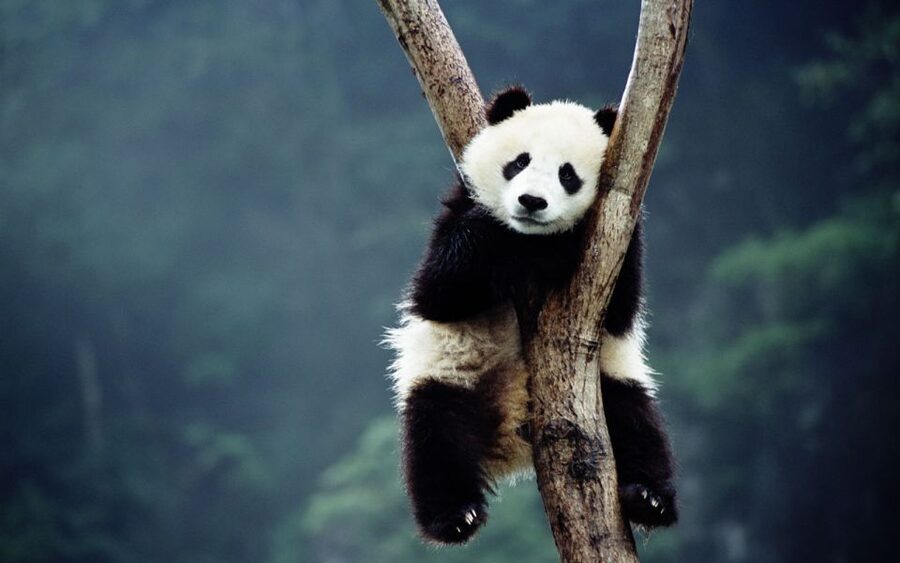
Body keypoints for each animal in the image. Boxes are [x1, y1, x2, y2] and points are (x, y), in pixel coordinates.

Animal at [385, 86, 677, 545]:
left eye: (568, 175)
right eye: (519, 162)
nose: (531, 202)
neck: (529, 239)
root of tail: (511, 439)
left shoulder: (617, 237)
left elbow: (620, 309)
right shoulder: (458, 210)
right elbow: (439, 289)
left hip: (609, 385)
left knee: (638, 424)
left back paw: (649, 498)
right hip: (450, 377)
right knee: (435, 439)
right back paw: (456, 516)